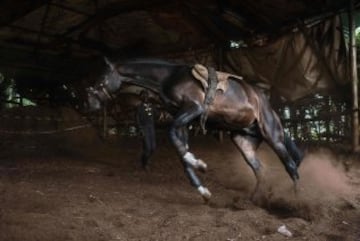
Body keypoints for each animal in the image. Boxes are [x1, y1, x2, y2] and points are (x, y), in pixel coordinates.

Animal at [86, 58, 302, 201]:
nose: (89, 103)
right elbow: (179, 148)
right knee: (259, 170)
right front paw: (202, 188)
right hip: (244, 141)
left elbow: (172, 134)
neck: (169, 77)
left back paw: (298, 199)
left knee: (291, 166)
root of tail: (266, 103)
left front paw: (199, 163)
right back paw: (255, 199)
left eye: (101, 78)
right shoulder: (183, 120)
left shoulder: (193, 108)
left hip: (273, 136)